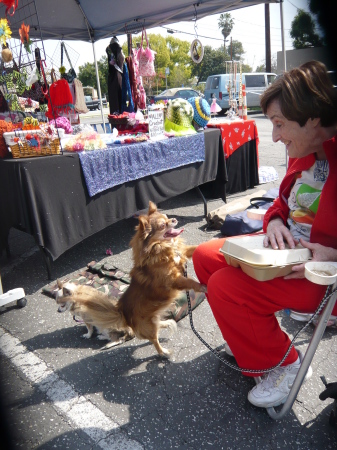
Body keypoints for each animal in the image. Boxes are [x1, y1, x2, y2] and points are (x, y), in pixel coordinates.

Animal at [55, 202, 205, 356]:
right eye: (163, 225)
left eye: (167, 217)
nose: (174, 219)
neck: (163, 248)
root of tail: (123, 313)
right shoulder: (173, 280)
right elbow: (189, 282)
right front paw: (202, 286)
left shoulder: (182, 253)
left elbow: (194, 248)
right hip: (148, 326)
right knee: (154, 340)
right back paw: (164, 352)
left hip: (153, 320)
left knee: (158, 328)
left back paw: (168, 325)